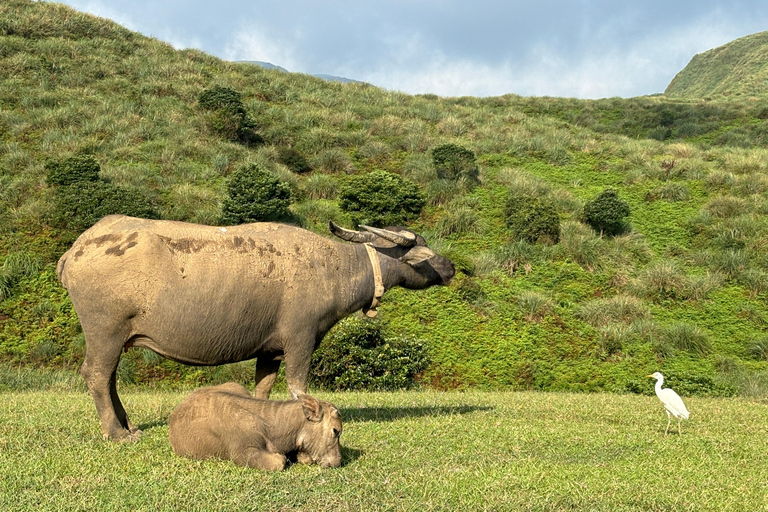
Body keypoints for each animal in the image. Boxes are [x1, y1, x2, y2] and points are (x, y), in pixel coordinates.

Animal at [60, 214, 456, 442]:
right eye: (425, 249)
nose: (451, 267)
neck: (335, 268)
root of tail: (77, 248)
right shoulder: (301, 340)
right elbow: (298, 387)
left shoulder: (270, 350)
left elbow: (262, 391)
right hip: (105, 331)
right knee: (97, 375)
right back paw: (117, 433)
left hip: (115, 337)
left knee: (109, 378)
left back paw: (127, 425)